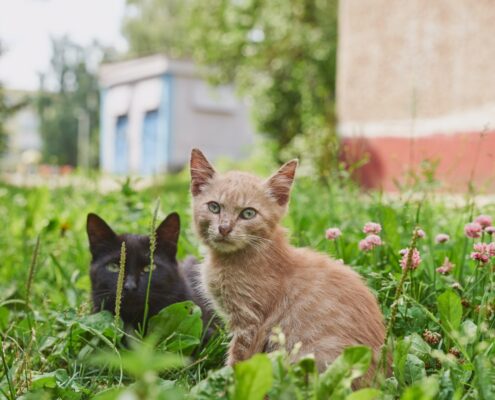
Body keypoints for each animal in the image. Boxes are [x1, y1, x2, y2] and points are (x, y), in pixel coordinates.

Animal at [190, 148, 388, 376]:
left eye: (248, 213)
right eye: (214, 207)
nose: (224, 228)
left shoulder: (251, 323)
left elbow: (239, 359)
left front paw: (228, 380)